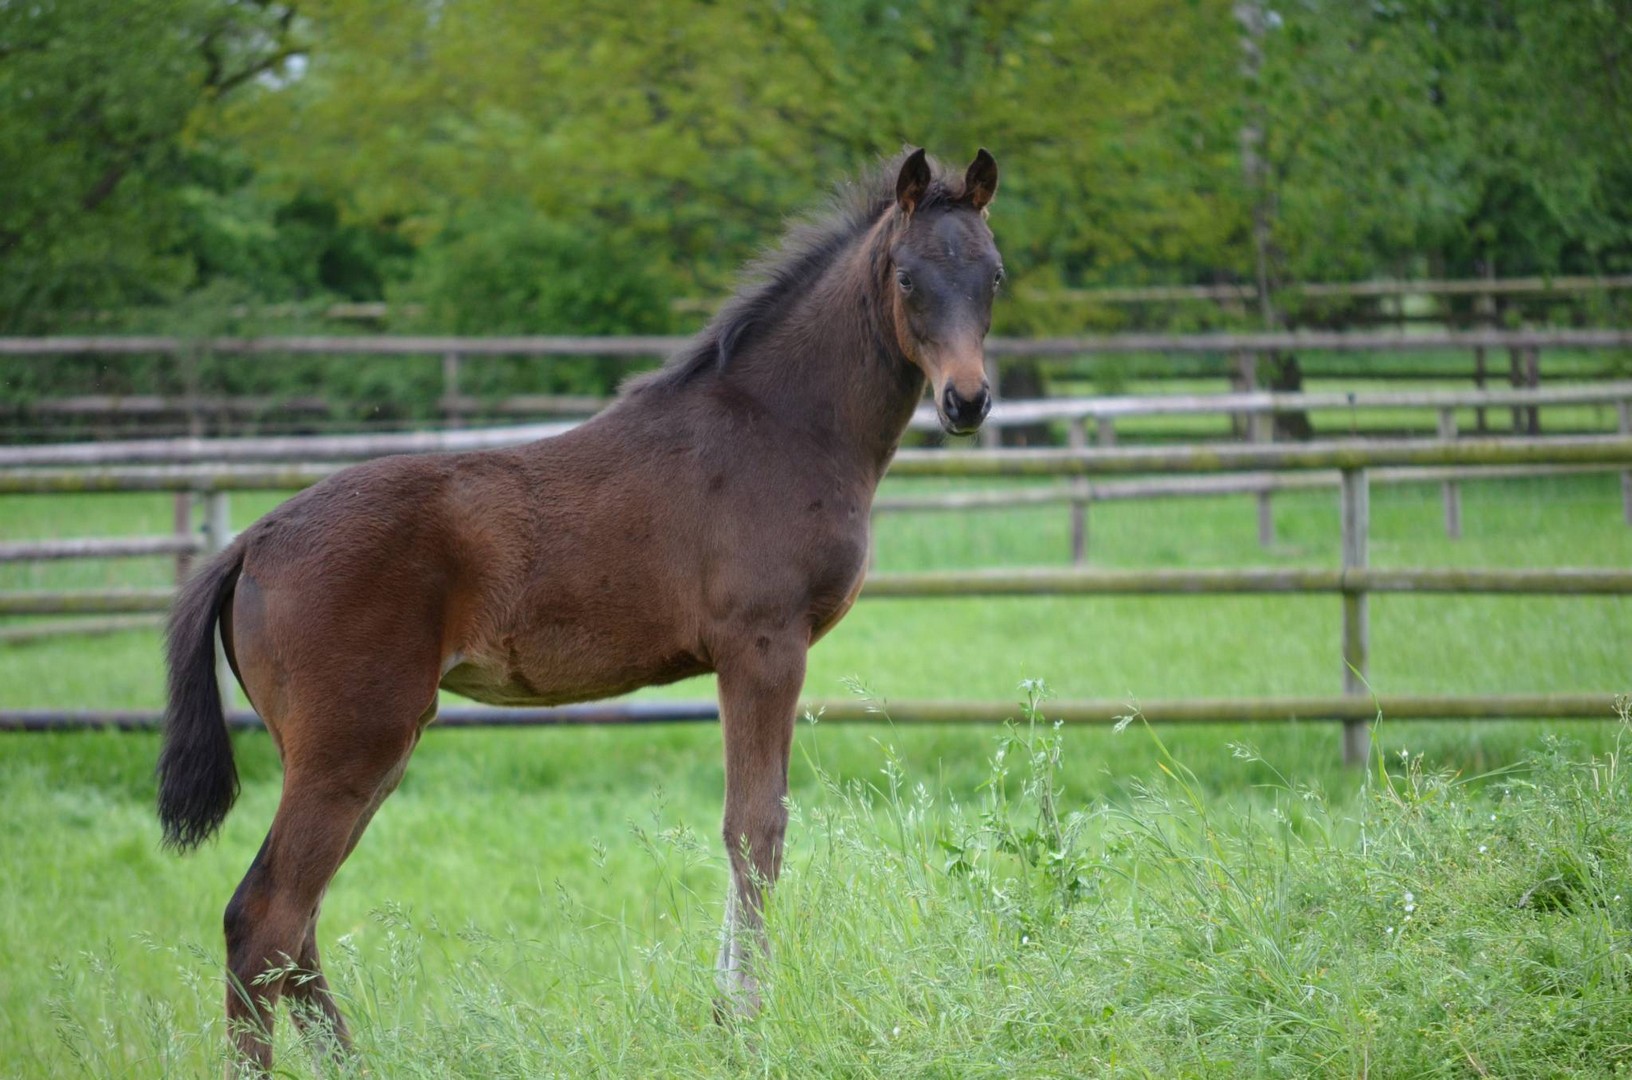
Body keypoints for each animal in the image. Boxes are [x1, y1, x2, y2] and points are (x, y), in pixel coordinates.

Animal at [157, 146, 1002, 1070]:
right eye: (907, 276)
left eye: (993, 275)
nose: (967, 401)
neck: (780, 425)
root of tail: (252, 541)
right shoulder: (764, 645)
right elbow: (754, 830)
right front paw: (740, 1026)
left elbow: (748, 829)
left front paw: (724, 1016)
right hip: (355, 739)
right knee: (264, 917)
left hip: (353, 747)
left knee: (295, 924)